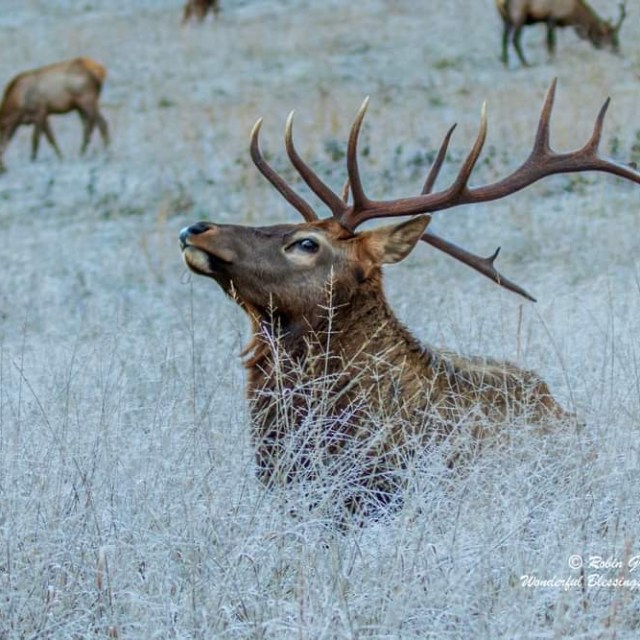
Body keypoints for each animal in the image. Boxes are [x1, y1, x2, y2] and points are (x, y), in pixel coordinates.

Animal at [496, 0, 627, 67]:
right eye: (610, 37)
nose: (618, 50)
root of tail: (503, 3)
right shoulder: (551, 18)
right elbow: (551, 43)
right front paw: (551, 60)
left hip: (507, 19)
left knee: (504, 38)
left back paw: (505, 61)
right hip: (519, 17)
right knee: (515, 39)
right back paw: (526, 63)